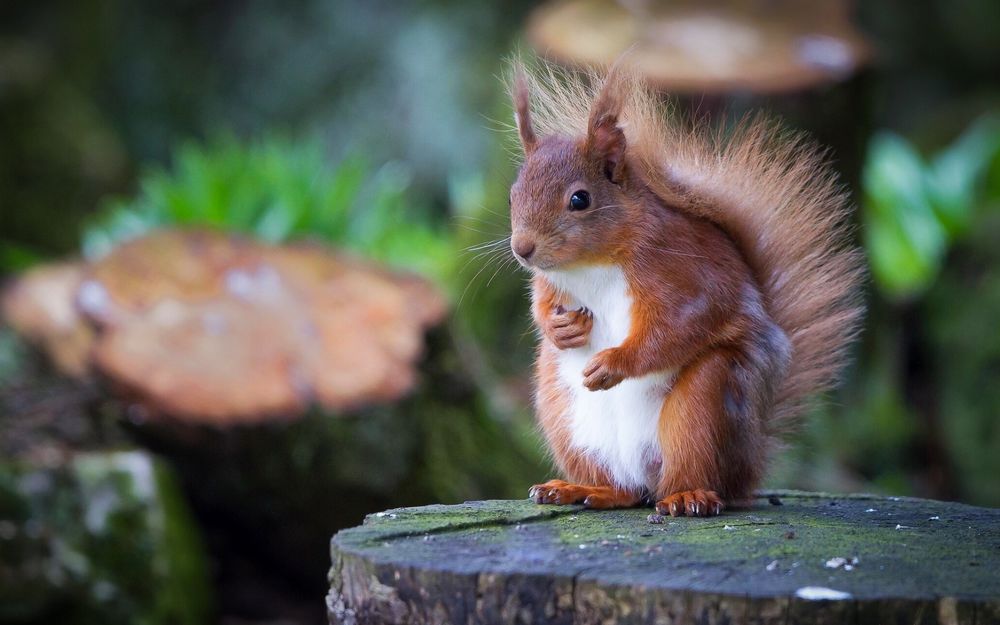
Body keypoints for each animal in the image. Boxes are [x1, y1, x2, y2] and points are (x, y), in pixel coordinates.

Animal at [507, 60, 864, 517]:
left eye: (580, 199)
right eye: (513, 194)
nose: (523, 248)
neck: (591, 264)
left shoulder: (685, 275)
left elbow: (679, 327)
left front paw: (614, 364)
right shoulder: (550, 281)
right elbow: (540, 305)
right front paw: (559, 329)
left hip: (705, 404)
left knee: (689, 473)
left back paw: (688, 496)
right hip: (564, 413)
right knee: (624, 491)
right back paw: (582, 489)